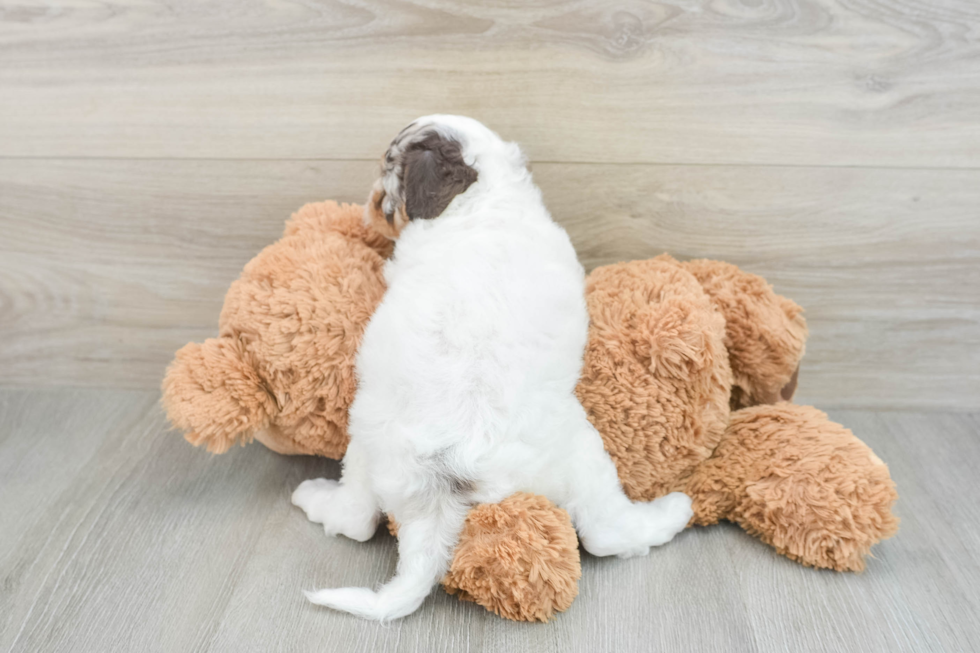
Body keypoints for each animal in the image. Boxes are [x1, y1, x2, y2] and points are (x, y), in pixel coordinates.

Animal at [290, 114, 688, 620]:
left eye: (387, 172)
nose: (371, 203)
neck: (484, 194)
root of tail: (442, 486)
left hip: (366, 449)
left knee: (356, 518)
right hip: (580, 453)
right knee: (606, 531)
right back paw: (673, 513)